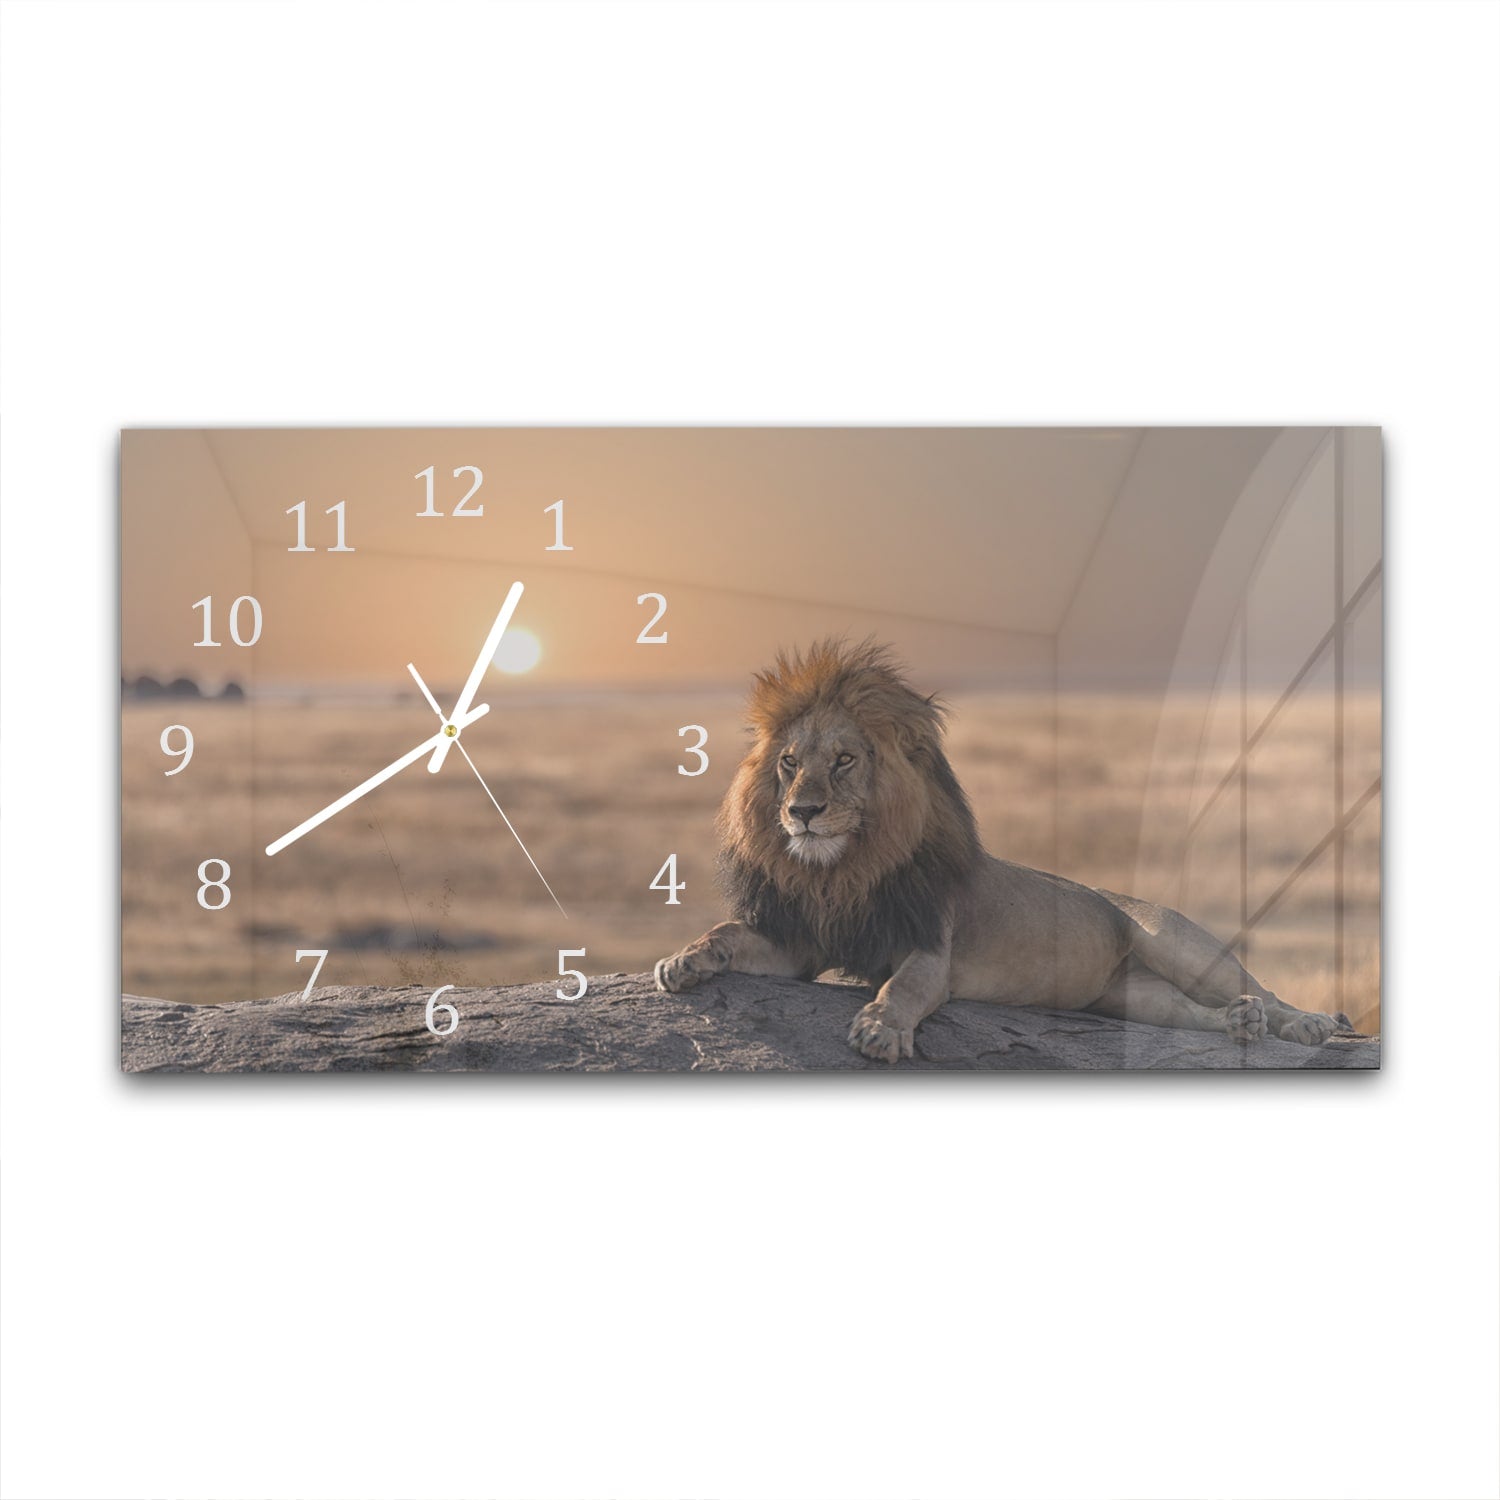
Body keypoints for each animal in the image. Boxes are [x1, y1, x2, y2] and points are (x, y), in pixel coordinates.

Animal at [654, 638, 1354, 1063]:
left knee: (1264, 989)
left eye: (845, 760)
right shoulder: (804, 942)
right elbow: (728, 933)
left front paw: (880, 1028)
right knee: (1190, 1012)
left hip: (1178, 943)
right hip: (1130, 995)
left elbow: (902, 987)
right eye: (790, 763)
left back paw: (1307, 1024)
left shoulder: (928, 947)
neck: (844, 870)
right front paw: (683, 960)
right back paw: (1238, 1025)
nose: (801, 812)